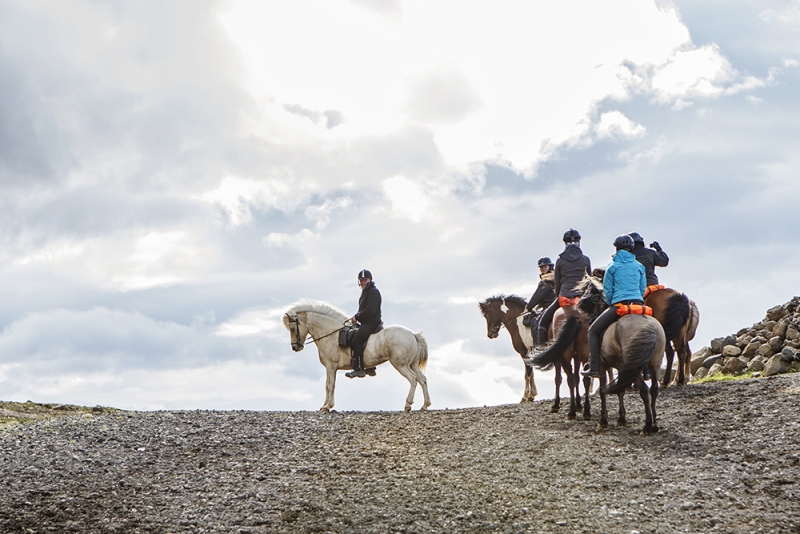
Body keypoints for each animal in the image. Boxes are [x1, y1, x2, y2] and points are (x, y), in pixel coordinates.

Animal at [282, 302, 432, 414]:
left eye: (292, 328)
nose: (295, 347)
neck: (331, 334)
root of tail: (413, 335)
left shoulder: (331, 367)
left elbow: (329, 385)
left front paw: (327, 407)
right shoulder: (332, 368)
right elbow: (329, 385)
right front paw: (325, 406)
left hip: (401, 364)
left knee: (413, 379)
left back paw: (408, 405)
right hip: (412, 364)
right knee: (422, 379)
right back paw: (425, 405)